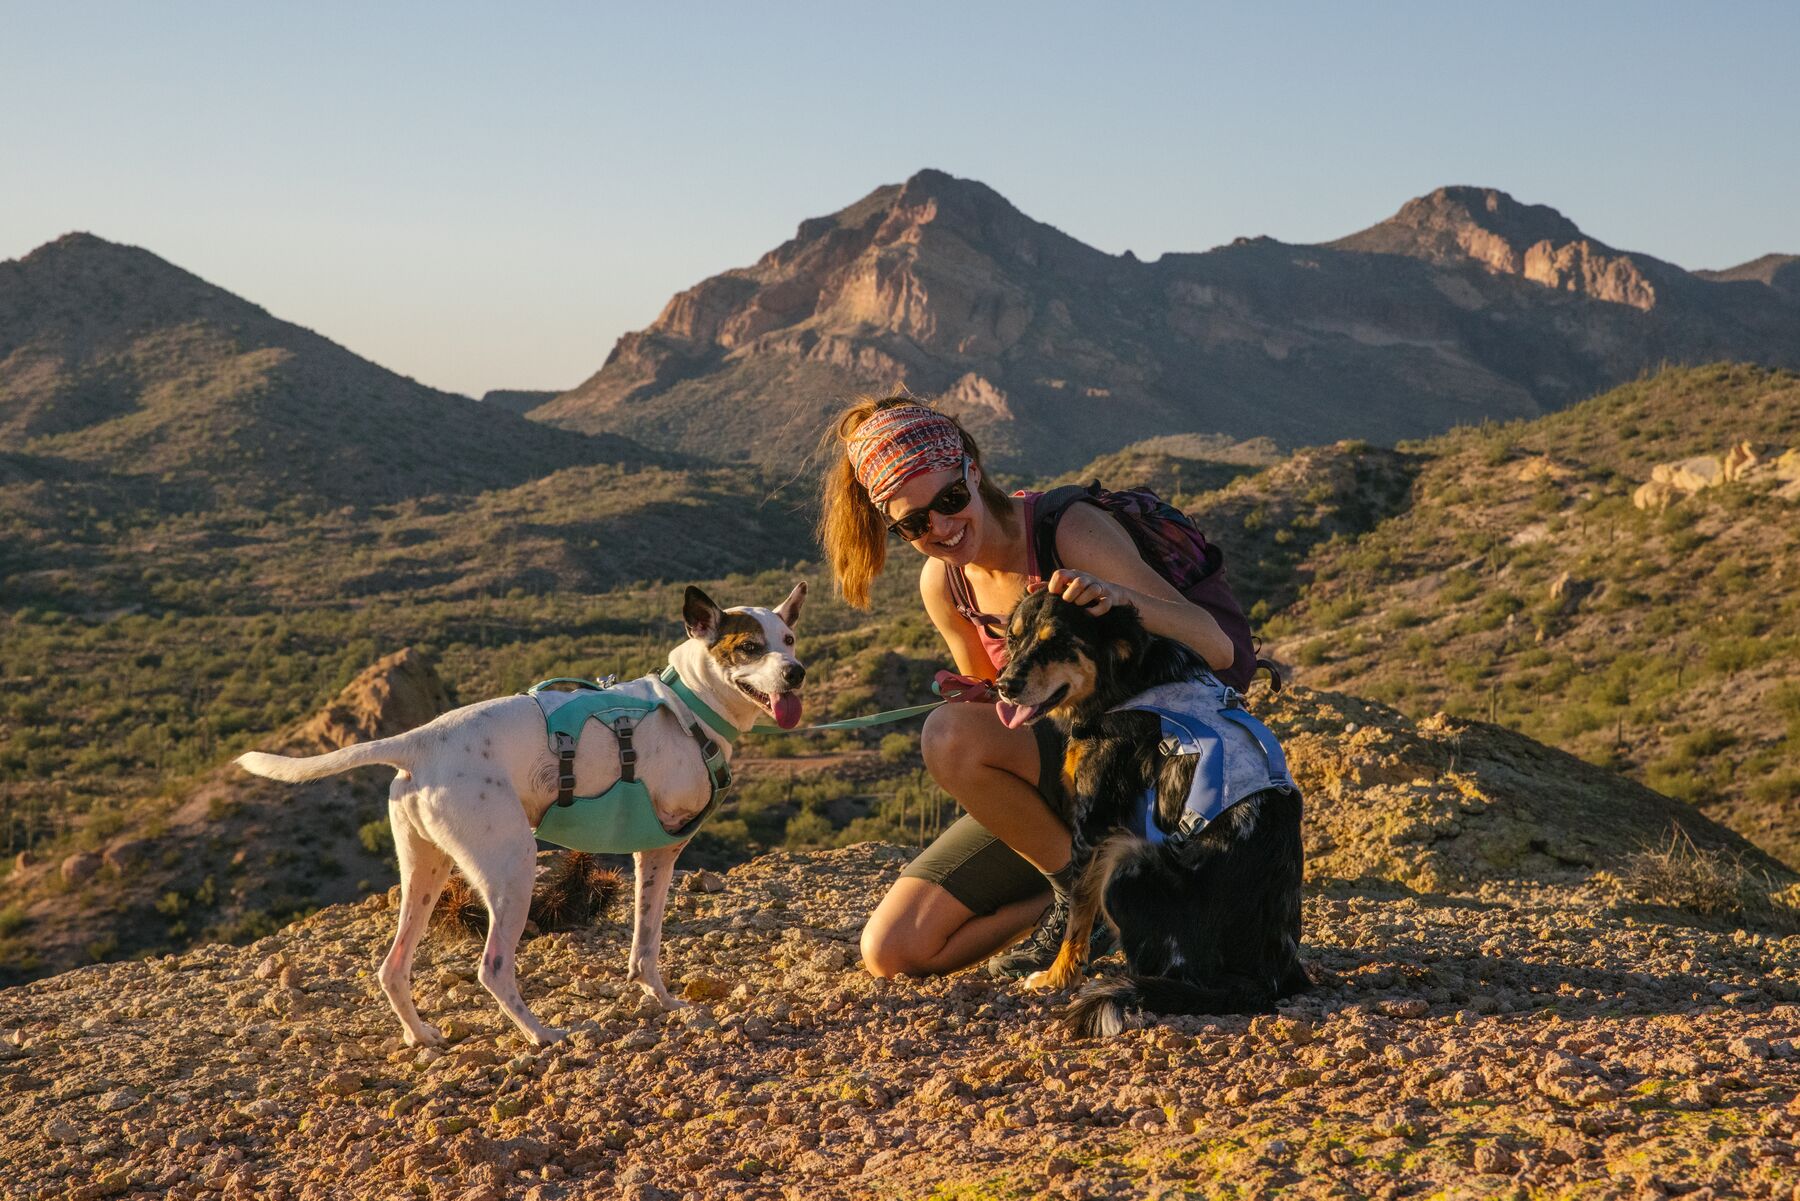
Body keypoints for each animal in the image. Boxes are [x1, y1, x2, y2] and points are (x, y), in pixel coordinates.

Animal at [235, 583, 806, 1044]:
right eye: (750, 647)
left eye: (789, 640)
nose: (796, 673)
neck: (688, 705)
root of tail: (419, 742)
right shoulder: (660, 850)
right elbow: (648, 942)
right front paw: (664, 999)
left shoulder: (651, 854)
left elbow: (642, 947)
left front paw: (659, 1000)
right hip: (513, 866)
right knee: (492, 968)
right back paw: (541, 1034)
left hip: (426, 871)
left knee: (393, 967)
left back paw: (421, 1036)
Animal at [993, 590, 1303, 1037]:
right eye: (1013, 638)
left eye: (1059, 642)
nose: (1004, 686)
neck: (1123, 682)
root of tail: (1262, 979)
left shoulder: (1094, 822)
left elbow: (1078, 911)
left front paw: (1058, 976)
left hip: (1128, 865)